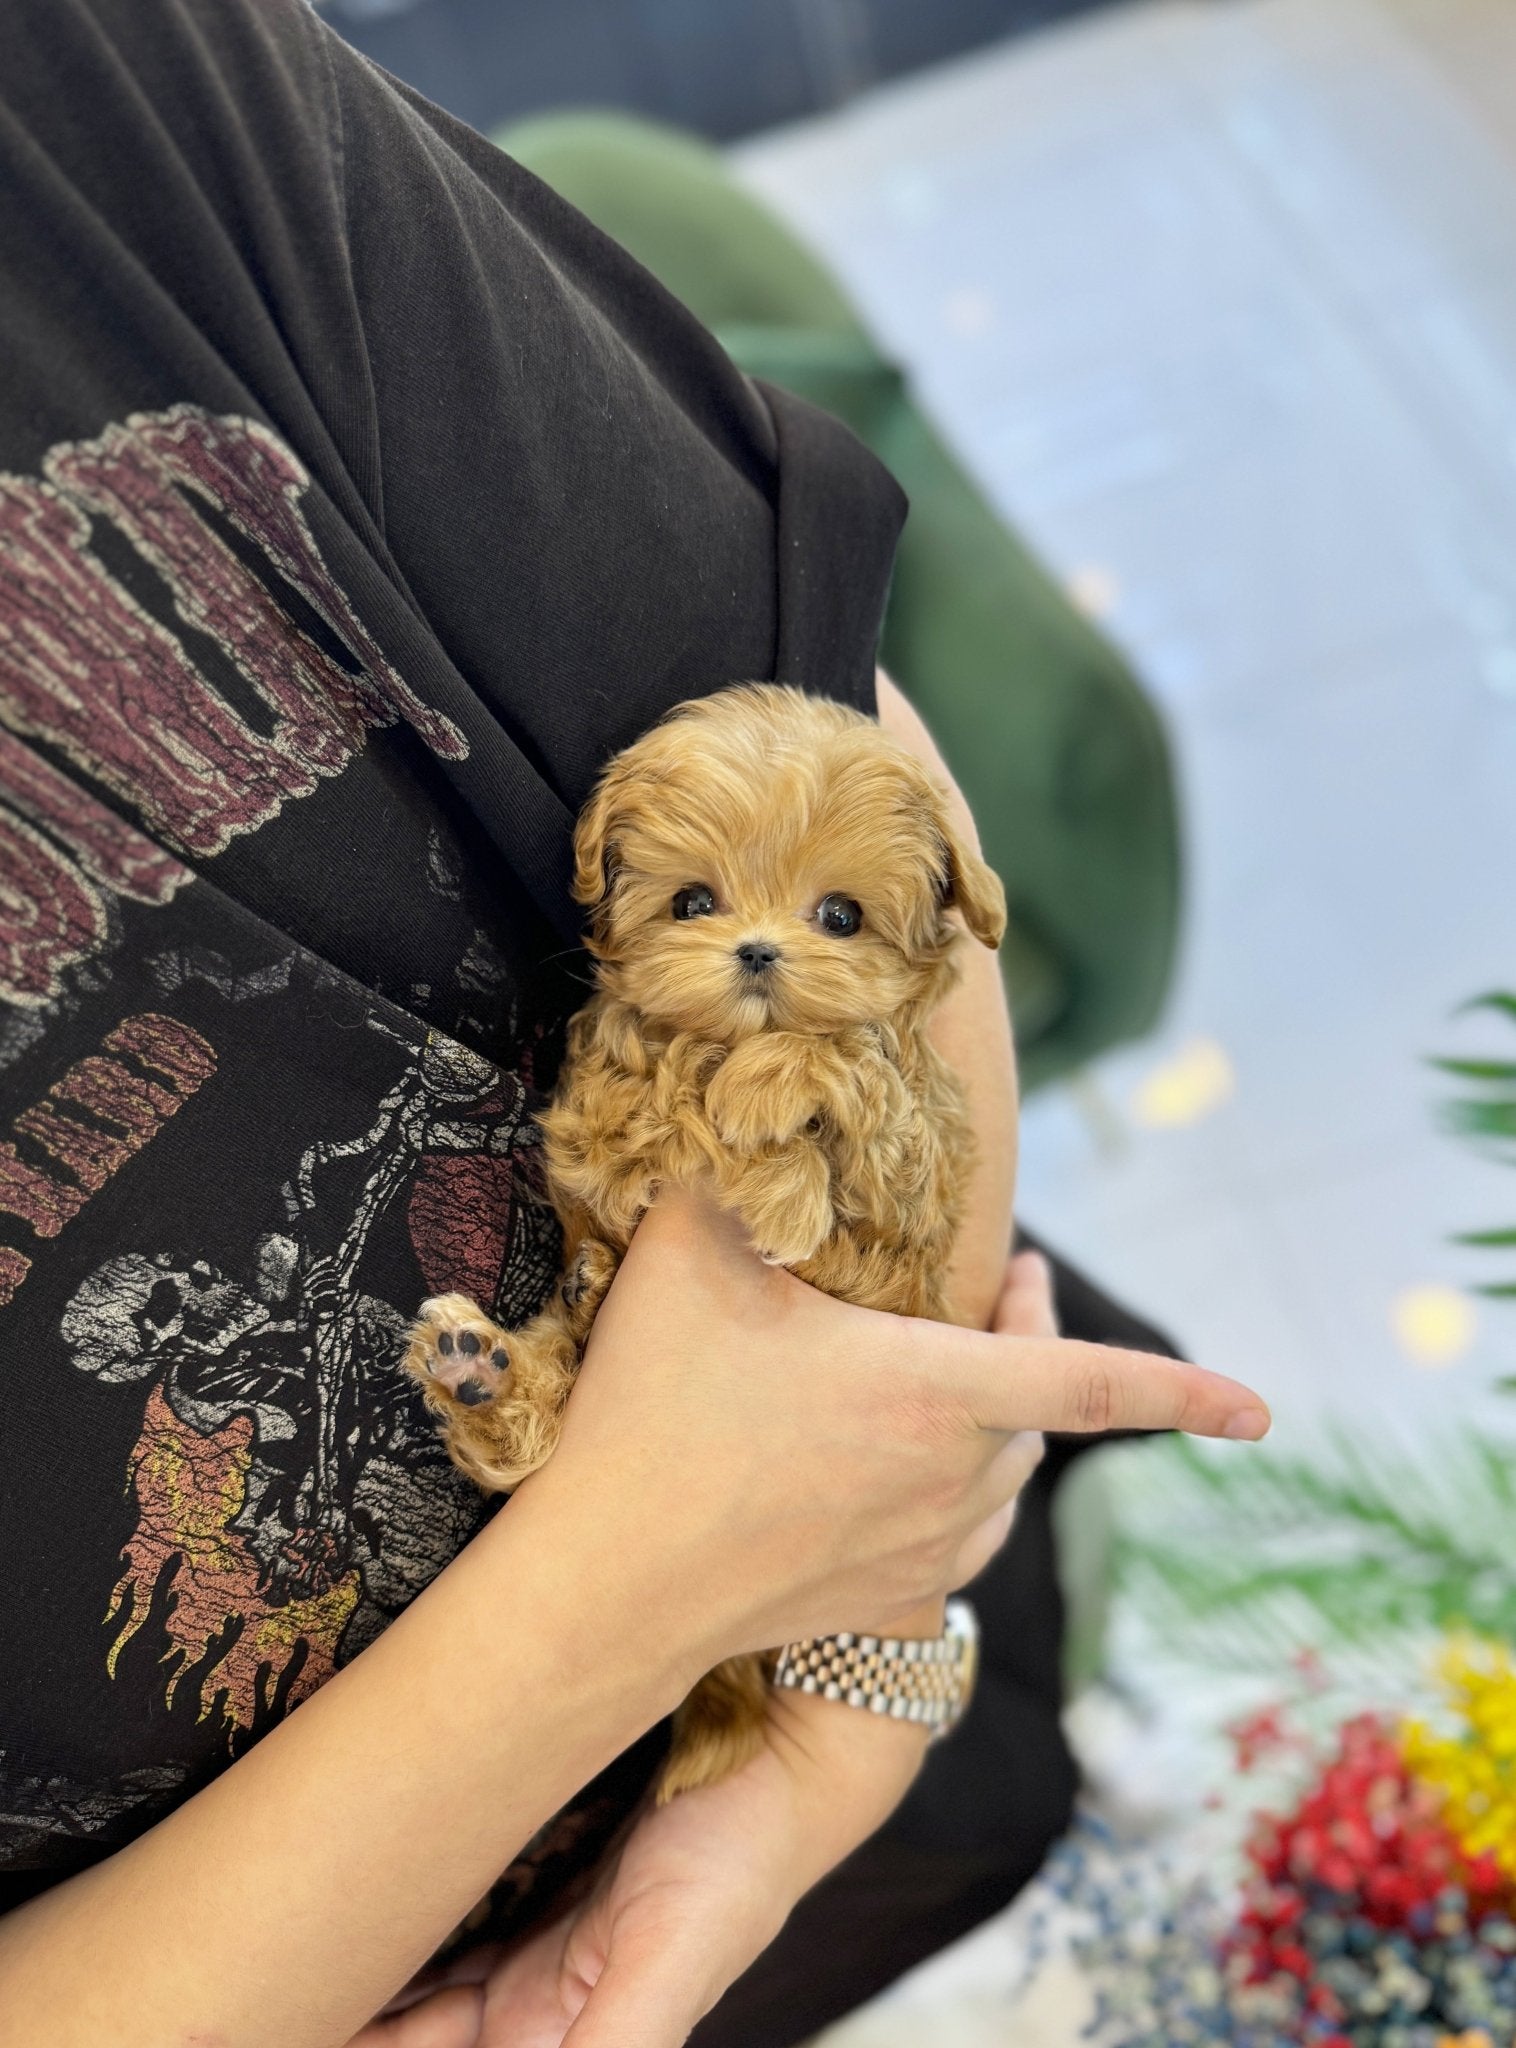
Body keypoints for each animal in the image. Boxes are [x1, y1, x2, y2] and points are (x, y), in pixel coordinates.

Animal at [403, 679, 1007, 1802]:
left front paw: (770, 1107)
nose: (759, 951)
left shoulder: (906, 1206)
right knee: (533, 1435)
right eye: (692, 903)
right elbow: (656, 1103)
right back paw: (484, 1369)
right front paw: (733, 1113)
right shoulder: (603, 1130)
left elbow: (856, 1069)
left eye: (840, 915)